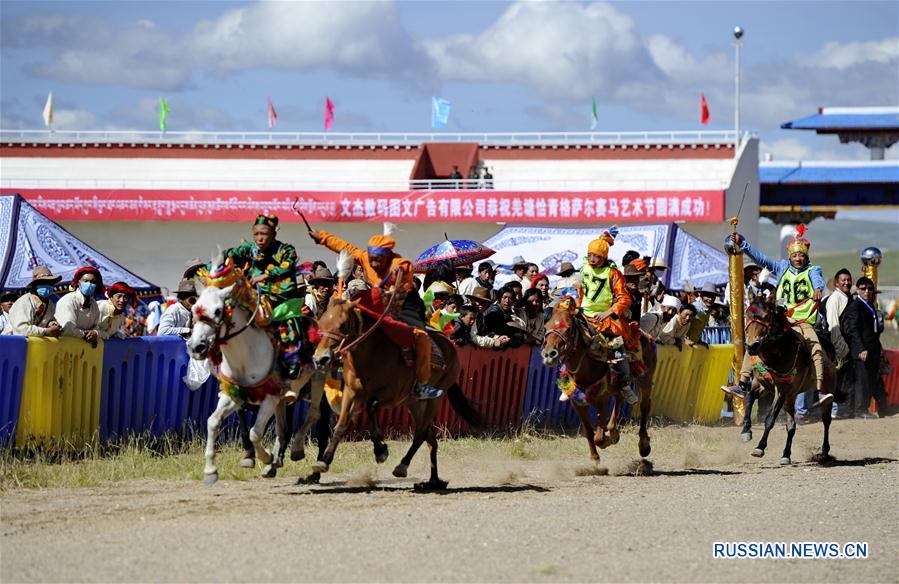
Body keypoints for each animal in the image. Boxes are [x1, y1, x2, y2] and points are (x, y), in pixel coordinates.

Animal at [188, 254, 326, 484]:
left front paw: (266, 456)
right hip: (283, 398)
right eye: (193, 309)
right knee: (283, 427)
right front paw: (210, 471)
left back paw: (299, 453)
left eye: (218, 311)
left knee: (314, 414)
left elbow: (255, 433)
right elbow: (212, 422)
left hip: (318, 379)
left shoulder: (269, 395)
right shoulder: (235, 394)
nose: (196, 347)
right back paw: (274, 464)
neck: (245, 355)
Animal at [310, 294, 486, 490]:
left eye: (342, 325)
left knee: (421, 433)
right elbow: (340, 426)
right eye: (321, 323)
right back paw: (433, 481)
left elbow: (371, 406)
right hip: (414, 403)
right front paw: (323, 461)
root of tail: (449, 344)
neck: (372, 353)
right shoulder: (351, 392)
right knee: (430, 438)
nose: (320, 359)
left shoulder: (393, 394)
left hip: (433, 399)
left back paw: (403, 466)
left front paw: (380, 450)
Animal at [536, 302, 656, 466]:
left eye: (568, 328)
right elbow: (588, 431)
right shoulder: (577, 402)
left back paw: (643, 445)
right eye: (546, 327)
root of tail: (645, 334)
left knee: (644, 406)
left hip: (645, 378)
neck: (587, 364)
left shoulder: (602, 400)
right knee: (619, 396)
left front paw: (606, 441)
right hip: (617, 385)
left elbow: (598, 436)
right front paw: (595, 457)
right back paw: (613, 431)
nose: (549, 354)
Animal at [744, 298, 836, 464]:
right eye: (747, 314)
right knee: (791, 425)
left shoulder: (781, 391)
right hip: (791, 397)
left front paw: (760, 447)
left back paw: (825, 452)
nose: (752, 346)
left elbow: (770, 419)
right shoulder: (761, 385)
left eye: (766, 316)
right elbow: (749, 398)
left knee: (826, 420)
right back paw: (786, 454)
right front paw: (746, 431)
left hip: (827, 391)